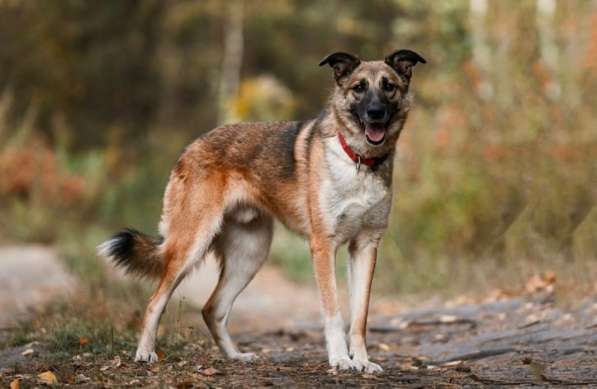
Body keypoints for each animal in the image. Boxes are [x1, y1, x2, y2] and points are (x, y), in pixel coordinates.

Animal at [98, 49, 424, 372]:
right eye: (359, 88)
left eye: (388, 87)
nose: (376, 113)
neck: (357, 160)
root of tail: (191, 147)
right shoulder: (324, 246)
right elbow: (334, 312)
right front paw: (342, 359)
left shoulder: (365, 246)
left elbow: (359, 317)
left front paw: (363, 361)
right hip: (191, 245)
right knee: (156, 301)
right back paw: (145, 353)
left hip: (249, 255)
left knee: (212, 309)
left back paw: (235, 356)